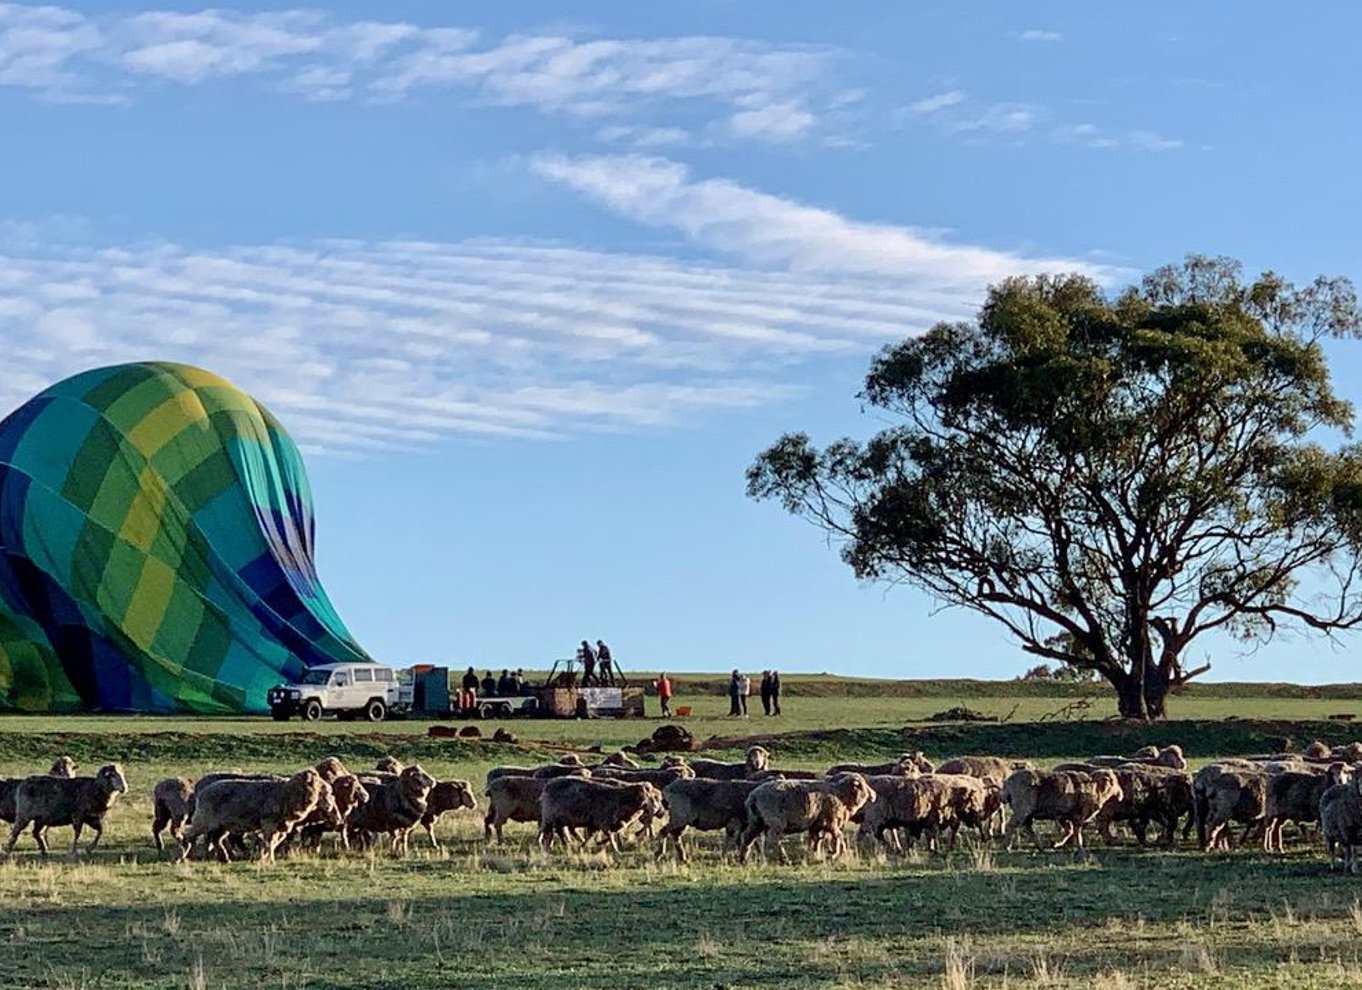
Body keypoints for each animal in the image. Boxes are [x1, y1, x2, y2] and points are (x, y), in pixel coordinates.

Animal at [183, 768, 329, 866]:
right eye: (312, 783)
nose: (327, 806)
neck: (286, 794)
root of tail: (203, 791)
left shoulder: (279, 826)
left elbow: (274, 843)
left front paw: (266, 858)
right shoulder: (269, 823)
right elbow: (269, 842)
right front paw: (269, 860)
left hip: (221, 825)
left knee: (216, 840)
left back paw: (225, 859)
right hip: (203, 820)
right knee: (190, 836)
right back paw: (185, 856)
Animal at [536, 773, 664, 849]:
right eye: (650, 797)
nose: (657, 809)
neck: (620, 798)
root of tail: (548, 785)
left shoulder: (600, 824)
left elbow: (595, 835)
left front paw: (584, 845)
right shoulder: (603, 822)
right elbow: (610, 835)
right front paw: (615, 848)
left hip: (560, 820)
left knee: (561, 831)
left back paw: (566, 844)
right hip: (549, 817)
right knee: (546, 830)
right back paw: (544, 844)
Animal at [740, 768, 877, 866]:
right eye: (861, 785)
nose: (874, 795)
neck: (841, 795)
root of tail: (753, 796)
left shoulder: (817, 824)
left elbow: (817, 839)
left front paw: (816, 854)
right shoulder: (830, 821)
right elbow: (838, 836)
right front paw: (835, 854)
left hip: (756, 821)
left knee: (747, 837)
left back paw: (742, 859)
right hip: (775, 821)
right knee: (773, 840)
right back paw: (784, 859)